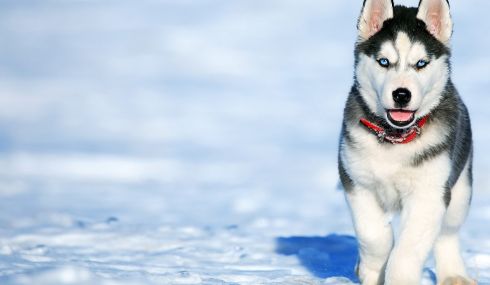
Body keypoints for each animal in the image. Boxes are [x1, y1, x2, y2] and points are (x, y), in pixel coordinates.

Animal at [336, 0, 474, 284]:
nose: (401, 94)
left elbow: (407, 250)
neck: (394, 139)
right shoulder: (357, 182)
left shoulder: (429, 193)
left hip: (460, 188)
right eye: (384, 62)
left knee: (447, 233)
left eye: (421, 63)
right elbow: (374, 236)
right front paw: (370, 269)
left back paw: (454, 275)